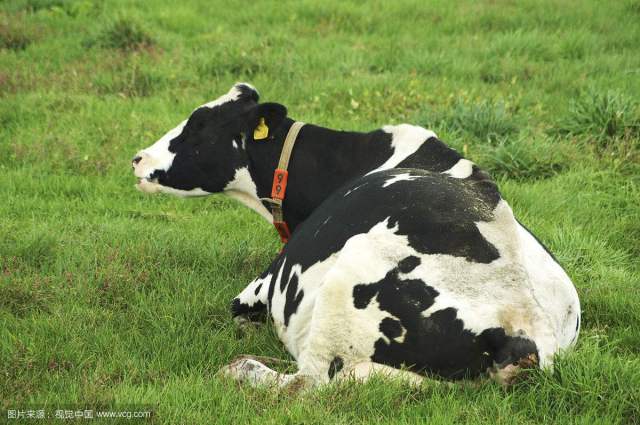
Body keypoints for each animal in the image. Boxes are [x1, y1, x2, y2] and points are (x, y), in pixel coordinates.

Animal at [134, 82, 580, 388]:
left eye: (198, 124)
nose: (137, 158)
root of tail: (524, 333)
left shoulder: (262, 285)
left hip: (341, 291)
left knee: (303, 385)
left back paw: (241, 367)